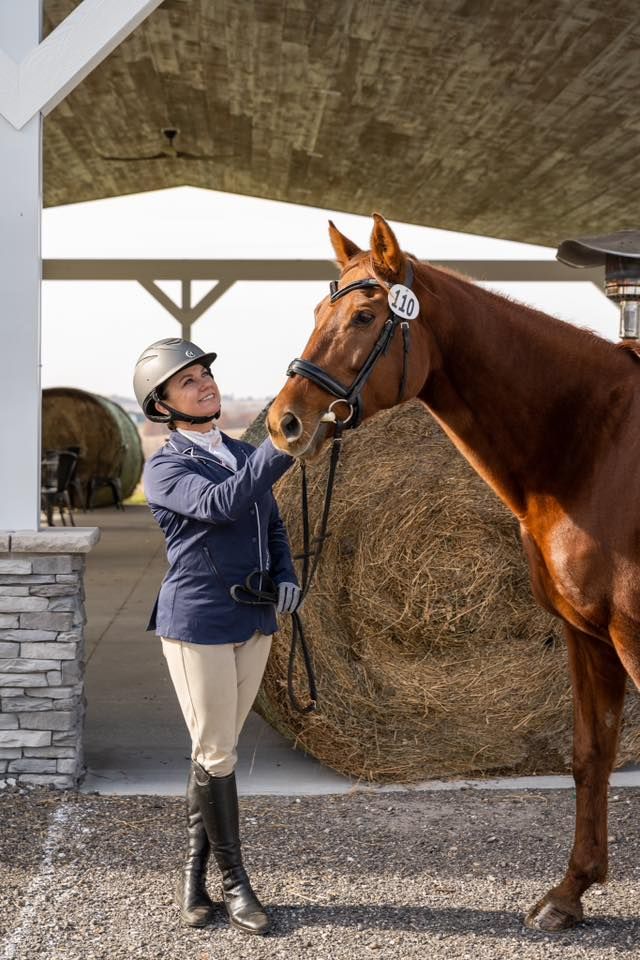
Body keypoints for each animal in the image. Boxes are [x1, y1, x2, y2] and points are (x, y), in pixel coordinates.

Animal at [266, 213, 640, 933]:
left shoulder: (633, 634)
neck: (599, 446)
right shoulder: (587, 633)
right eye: (320, 311)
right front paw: (570, 892)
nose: (285, 421)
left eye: (364, 315)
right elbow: (591, 755)